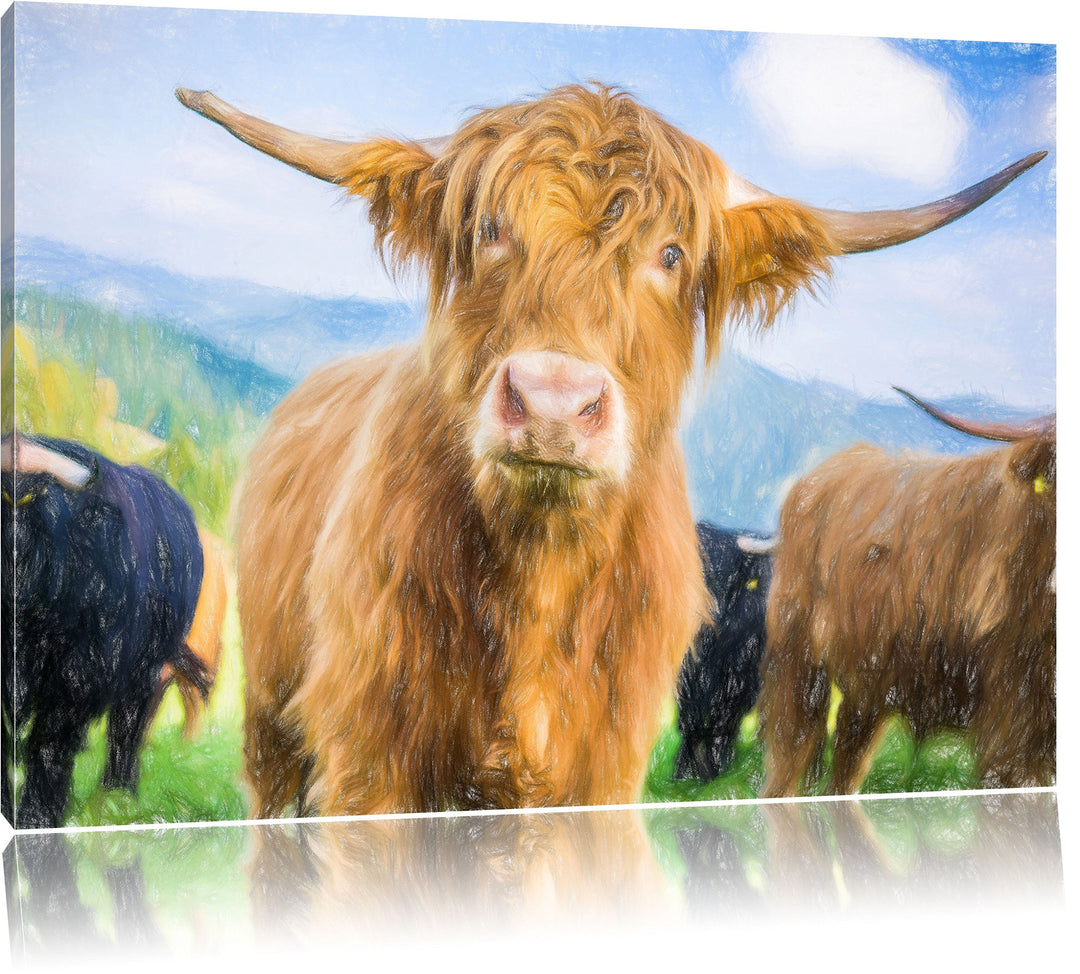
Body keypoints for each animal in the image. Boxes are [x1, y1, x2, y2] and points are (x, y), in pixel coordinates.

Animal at [1, 433, 211, 829]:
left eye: (39, 503)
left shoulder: (79, 675)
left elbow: (49, 744)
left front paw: (40, 815)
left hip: (145, 669)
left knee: (128, 727)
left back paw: (119, 794)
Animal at [674, 524, 772, 781]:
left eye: (730, 574)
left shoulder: (739, 680)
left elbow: (722, 723)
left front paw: (717, 772)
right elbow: (690, 725)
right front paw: (683, 776)